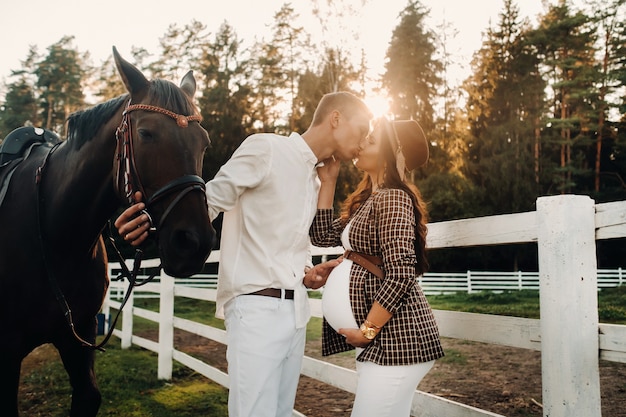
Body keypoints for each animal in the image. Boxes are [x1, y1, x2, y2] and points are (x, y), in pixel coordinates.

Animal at [0, 47, 214, 414]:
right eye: (146, 133)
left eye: (203, 142)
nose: (194, 243)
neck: (60, 236)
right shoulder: (8, 351)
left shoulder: (79, 338)